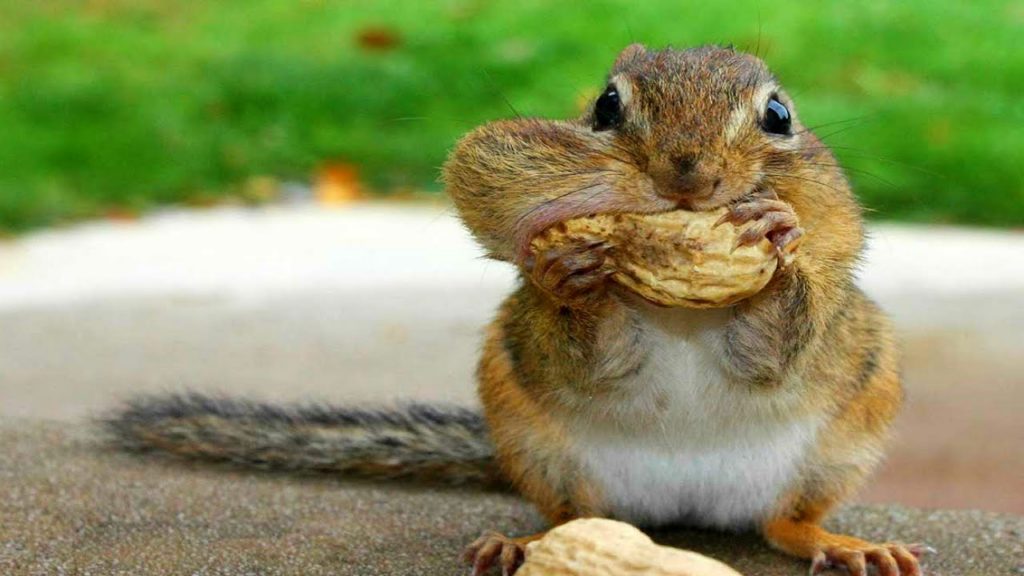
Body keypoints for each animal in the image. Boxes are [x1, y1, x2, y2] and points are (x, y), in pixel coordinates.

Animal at [106, 45, 927, 576]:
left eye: (779, 114)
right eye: (605, 106)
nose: (686, 176)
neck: (682, 314)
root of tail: (683, 509)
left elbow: (776, 346)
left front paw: (778, 240)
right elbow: (594, 352)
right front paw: (573, 276)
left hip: (840, 444)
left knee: (785, 522)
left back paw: (845, 545)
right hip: (538, 445)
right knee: (570, 517)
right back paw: (521, 546)